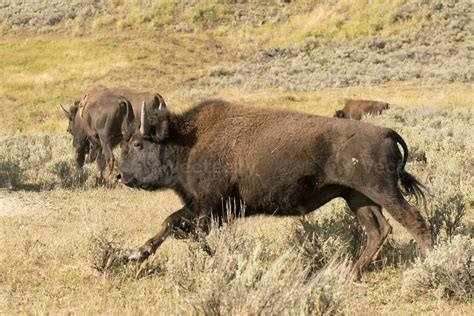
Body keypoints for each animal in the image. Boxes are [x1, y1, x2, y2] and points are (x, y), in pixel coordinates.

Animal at [116, 100, 432, 278]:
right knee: (379, 230)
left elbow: (170, 222)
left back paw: (429, 263)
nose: (119, 175)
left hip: (382, 191)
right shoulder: (213, 211)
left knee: (414, 221)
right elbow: (180, 228)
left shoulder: (207, 205)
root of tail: (385, 132)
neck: (189, 140)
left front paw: (137, 254)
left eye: (137, 143)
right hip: (358, 197)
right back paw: (351, 273)